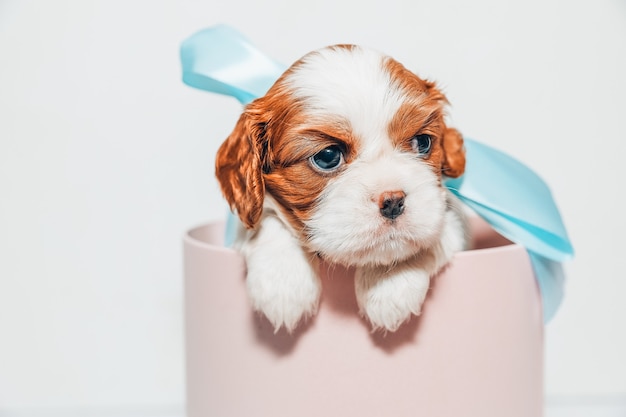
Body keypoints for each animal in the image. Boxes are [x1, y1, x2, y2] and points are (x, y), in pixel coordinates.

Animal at [216, 44, 468, 332]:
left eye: (422, 142)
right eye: (328, 156)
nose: (393, 200)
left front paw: (390, 284)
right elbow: (267, 219)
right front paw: (282, 282)